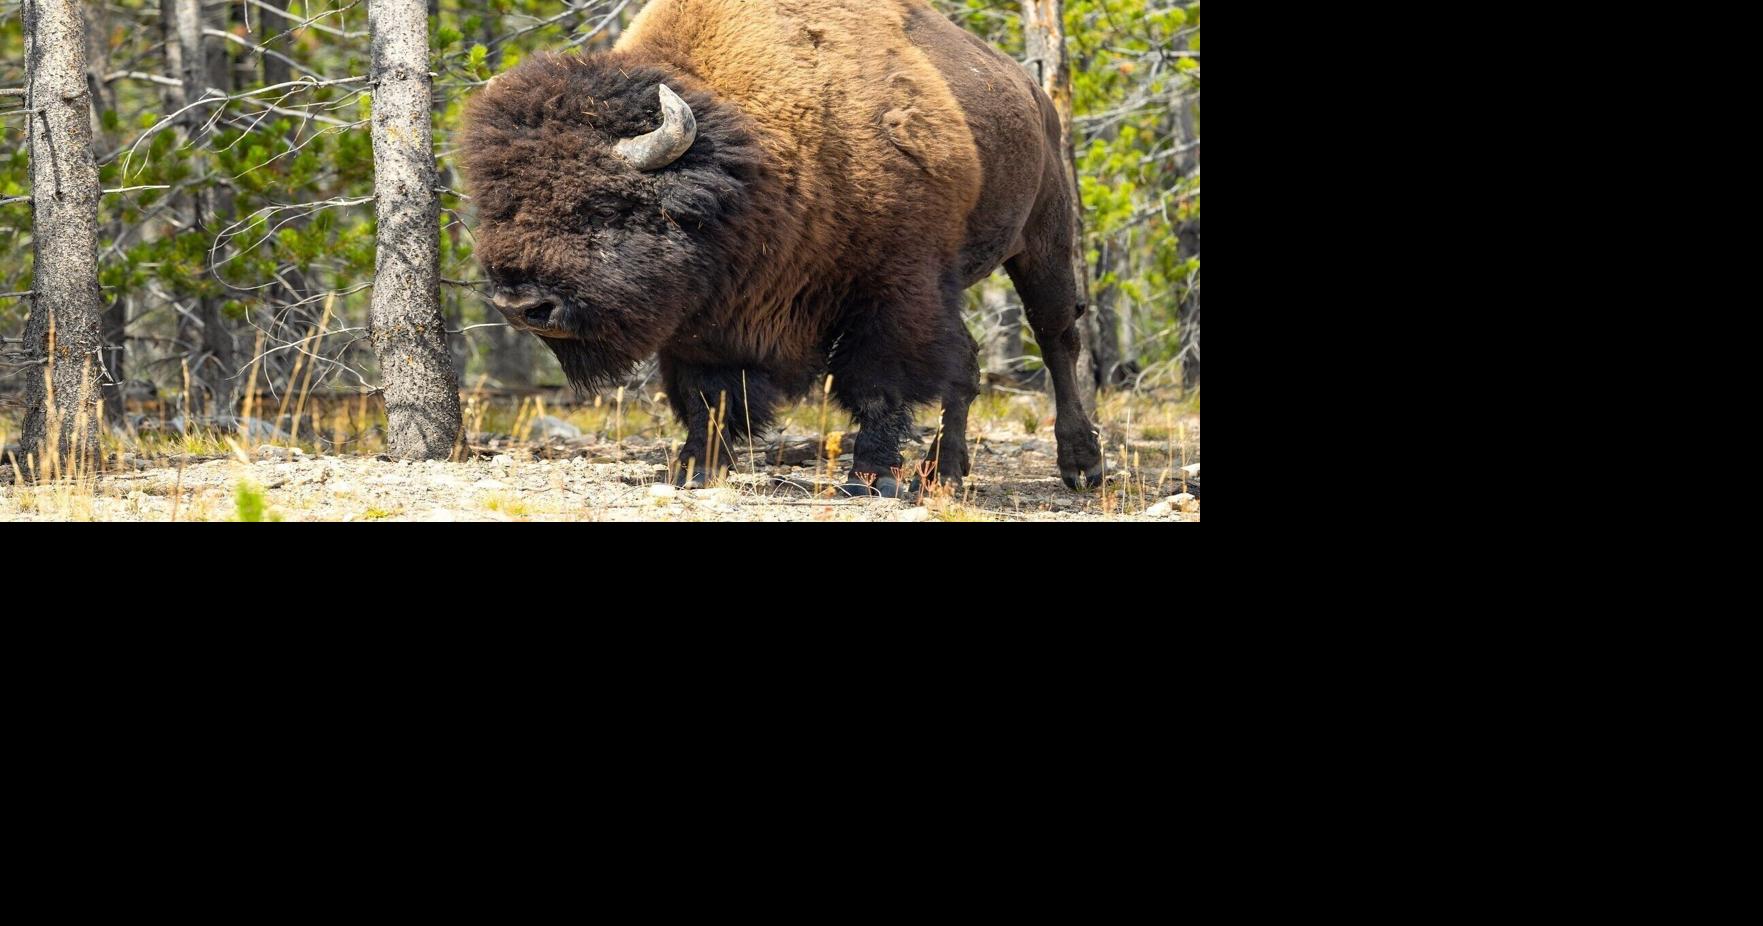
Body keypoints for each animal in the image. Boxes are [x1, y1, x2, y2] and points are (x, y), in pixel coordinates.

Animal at [460, 0, 1104, 494]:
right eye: (498, 208)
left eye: (601, 207)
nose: (522, 306)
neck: (758, 164)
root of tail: (1032, 91)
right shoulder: (708, 315)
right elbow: (708, 395)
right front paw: (693, 468)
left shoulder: (895, 287)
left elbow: (879, 381)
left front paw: (871, 476)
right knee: (968, 368)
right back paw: (945, 471)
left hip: (1042, 238)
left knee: (1057, 338)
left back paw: (1081, 467)